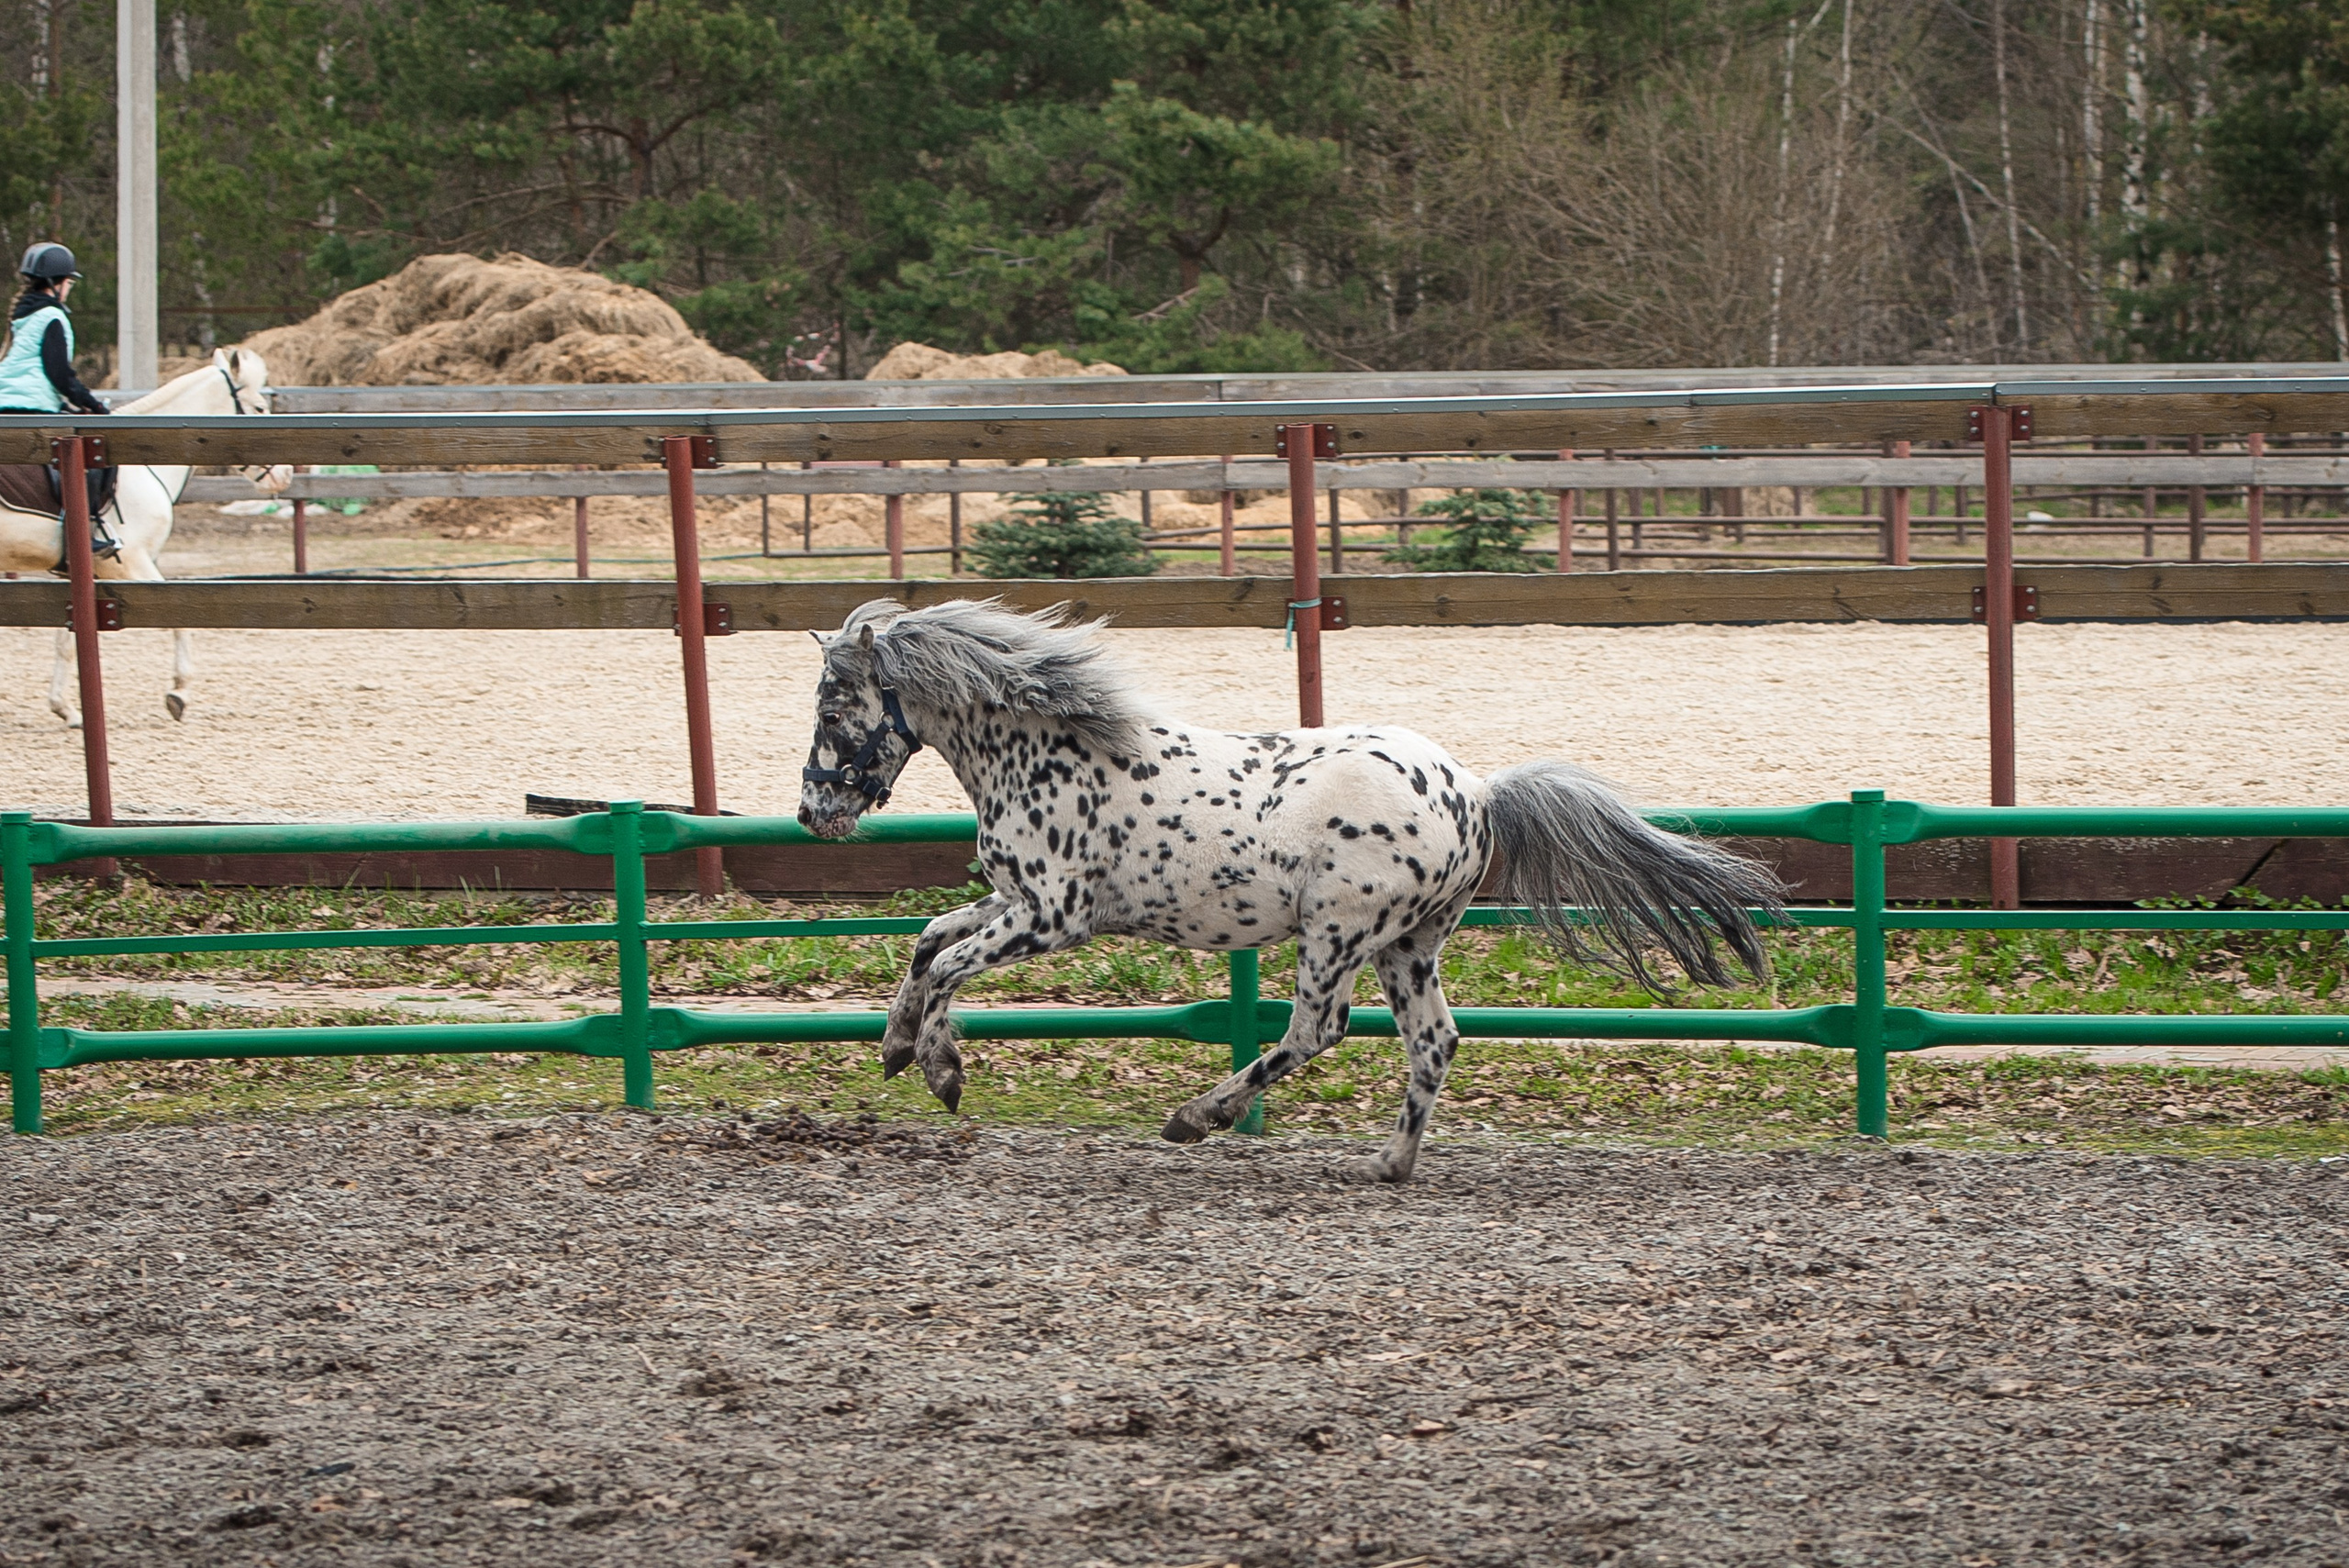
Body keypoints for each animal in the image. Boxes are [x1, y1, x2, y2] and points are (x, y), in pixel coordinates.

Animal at [0, 347, 291, 726]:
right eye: (258, 408)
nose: (285, 475)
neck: (145, 464)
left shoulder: (87, 572)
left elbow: (66, 640)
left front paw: (64, 707)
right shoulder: (130, 564)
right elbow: (179, 618)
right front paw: (179, 692)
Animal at [796, 598, 1783, 1183]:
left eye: (833, 704)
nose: (814, 811)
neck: (1049, 753)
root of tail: (1475, 790)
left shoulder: (1053, 916)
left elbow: (947, 964)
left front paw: (939, 1069)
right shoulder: (1016, 902)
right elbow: (929, 939)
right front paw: (898, 1049)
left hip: (1337, 932)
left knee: (1318, 1029)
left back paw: (1199, 1115)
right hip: (1409, 945)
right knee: (1433, 1041)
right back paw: (1389, 1163)